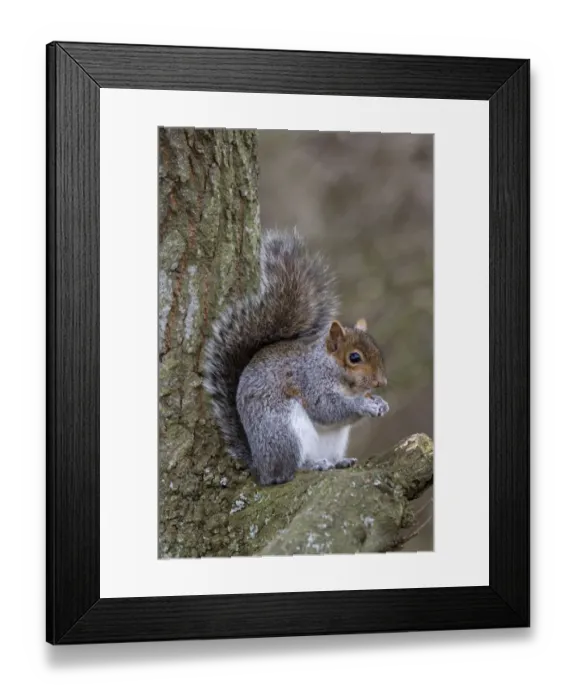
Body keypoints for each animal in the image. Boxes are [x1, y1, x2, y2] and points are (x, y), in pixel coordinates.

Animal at [202, 228, 389, 486]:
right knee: (287, 471)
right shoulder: (310, 382)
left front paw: (380, 402)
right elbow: (327, 408)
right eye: (354, 358)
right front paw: (364, 404)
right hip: (284, 431)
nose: (381, 382)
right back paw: (311, 465)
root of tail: (260, 467)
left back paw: (338, 462)